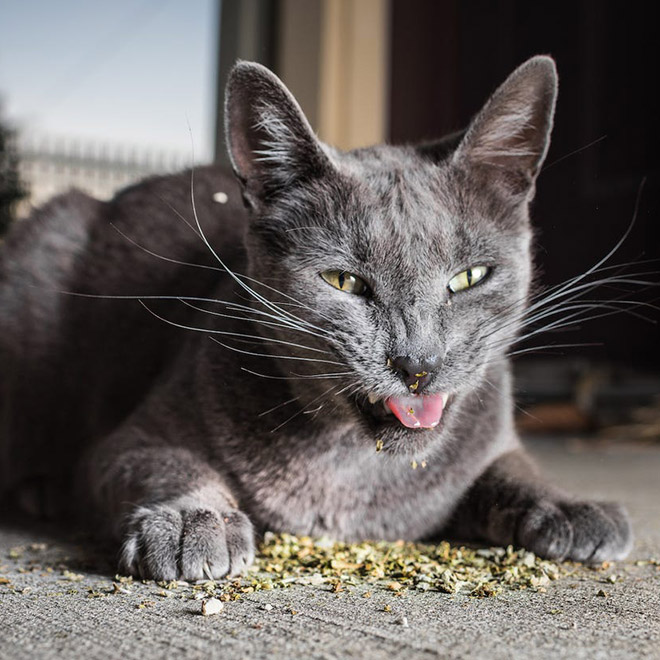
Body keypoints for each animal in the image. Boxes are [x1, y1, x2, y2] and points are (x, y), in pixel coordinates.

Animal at [0, 58, 636, 584]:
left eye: (469, 278)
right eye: (343, 282)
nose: (418, 364)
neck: (349, 466)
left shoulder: (492, 440)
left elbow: (514, 468)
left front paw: (572, 506)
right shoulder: (128, 440)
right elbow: (165, 462)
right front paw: (192, 523)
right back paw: (41, 491)